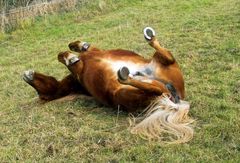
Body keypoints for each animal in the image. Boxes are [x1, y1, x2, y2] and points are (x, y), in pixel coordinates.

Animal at [23, 27, 194, 143]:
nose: (27, 75)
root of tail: (176, 98)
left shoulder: (83, 66)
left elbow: (69, 53)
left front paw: (73, 51)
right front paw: (73, 52)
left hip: (140, 82)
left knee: (161, 79)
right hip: (127, 91)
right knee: (159, 84)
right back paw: (128, 73)